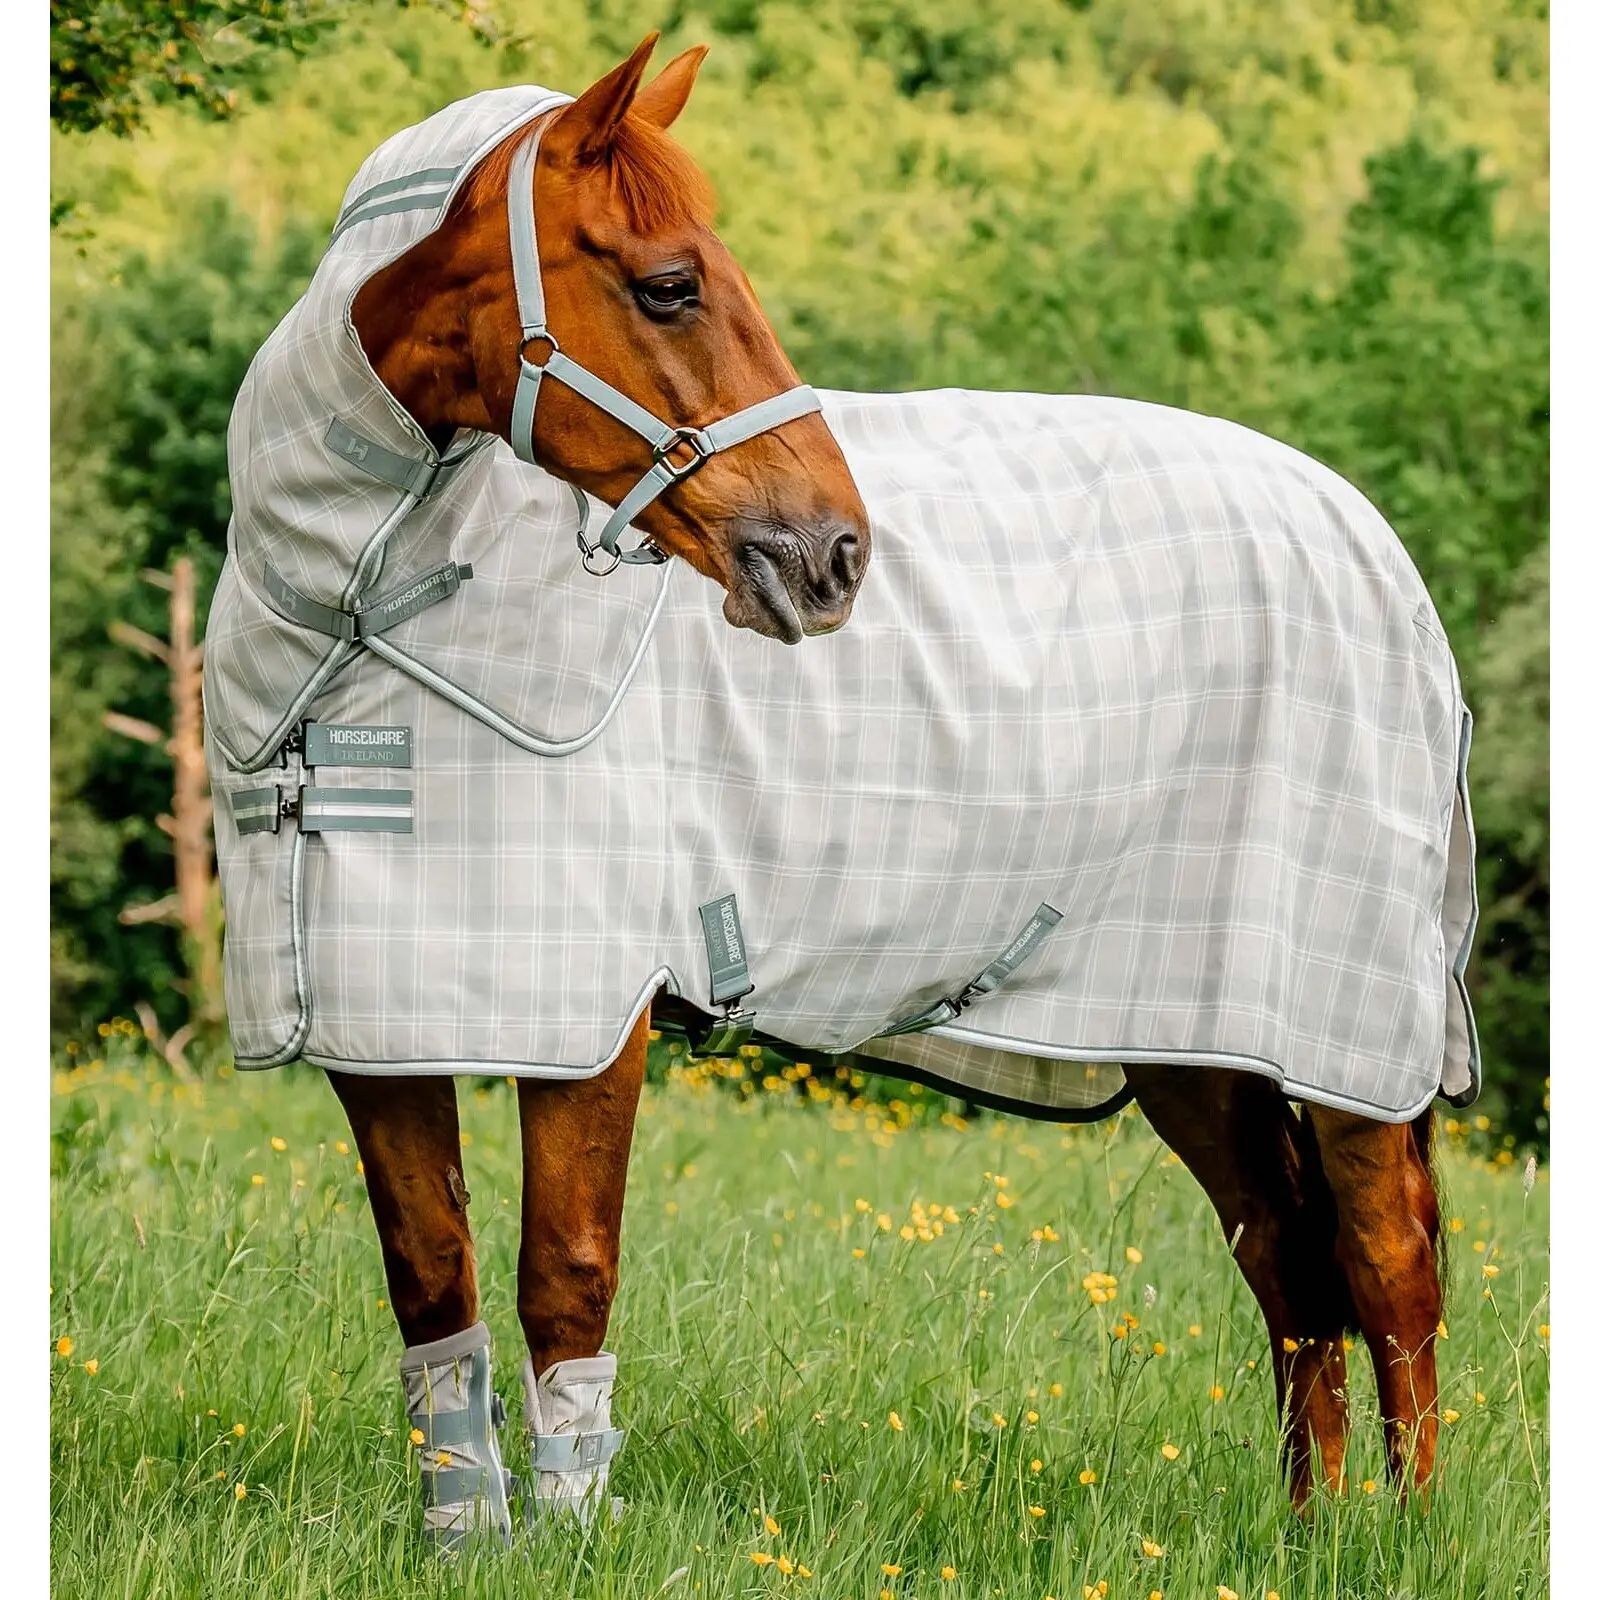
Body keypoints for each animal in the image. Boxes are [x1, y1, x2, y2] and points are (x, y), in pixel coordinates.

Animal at [218, 34, 1462, 1545]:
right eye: (671, 283)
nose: (833, 555)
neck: (358, 627)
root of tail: (1368, 543)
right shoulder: (382, 1028)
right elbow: (433, 1281)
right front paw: (467, 1541)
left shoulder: (591, 1022)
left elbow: (564, 1271)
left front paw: (568, 1540)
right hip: (1196, 1039)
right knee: (1287, 1261)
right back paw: (1307, 1529)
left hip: (1346, 1039)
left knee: (1388, 1261)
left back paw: (1406, 1534)